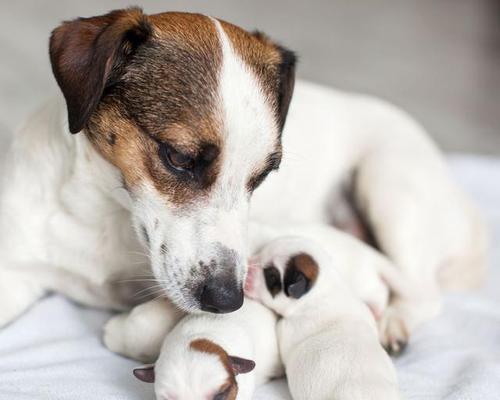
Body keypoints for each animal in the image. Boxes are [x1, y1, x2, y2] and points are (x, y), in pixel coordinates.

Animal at [0, 5, 486, 356]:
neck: (105, 215)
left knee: (422, 290)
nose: (228, 300)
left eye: (264, 175)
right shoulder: (16, 271)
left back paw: (392, 323)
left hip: (389, 187)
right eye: (179, 157)